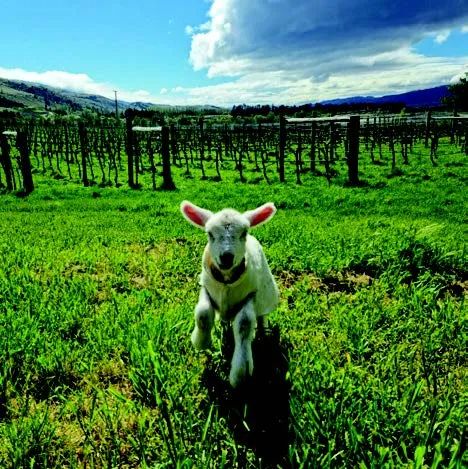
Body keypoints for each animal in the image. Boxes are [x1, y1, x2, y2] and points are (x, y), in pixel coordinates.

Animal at [180, 200, 279, 388]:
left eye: (244, 233)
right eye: (209, 234)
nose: (226, 257)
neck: (226, 281)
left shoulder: (250, 295)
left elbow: (244, 324)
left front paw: (240, 374)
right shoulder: (206, 288)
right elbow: (203, 314)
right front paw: (201, 342)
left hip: (266, 297)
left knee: (261, 316)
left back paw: (263, 333)